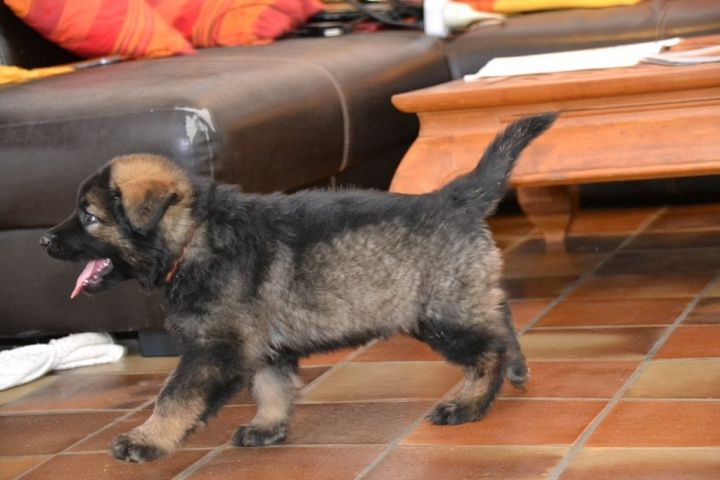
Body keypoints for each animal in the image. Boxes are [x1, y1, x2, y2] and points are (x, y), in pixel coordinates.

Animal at [41, 112, 556, 463]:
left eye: (89, 216)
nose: (44, 240)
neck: (195, 237)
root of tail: (453, 198)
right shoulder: (261, 344)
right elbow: (270, 386)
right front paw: (267, 427)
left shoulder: (217, 347)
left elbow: (175, 395)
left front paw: (146, 440)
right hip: (462, 297)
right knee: (500, 316)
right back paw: (517, 370)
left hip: (440, 313)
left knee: (488, 348)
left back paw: (467, 404)